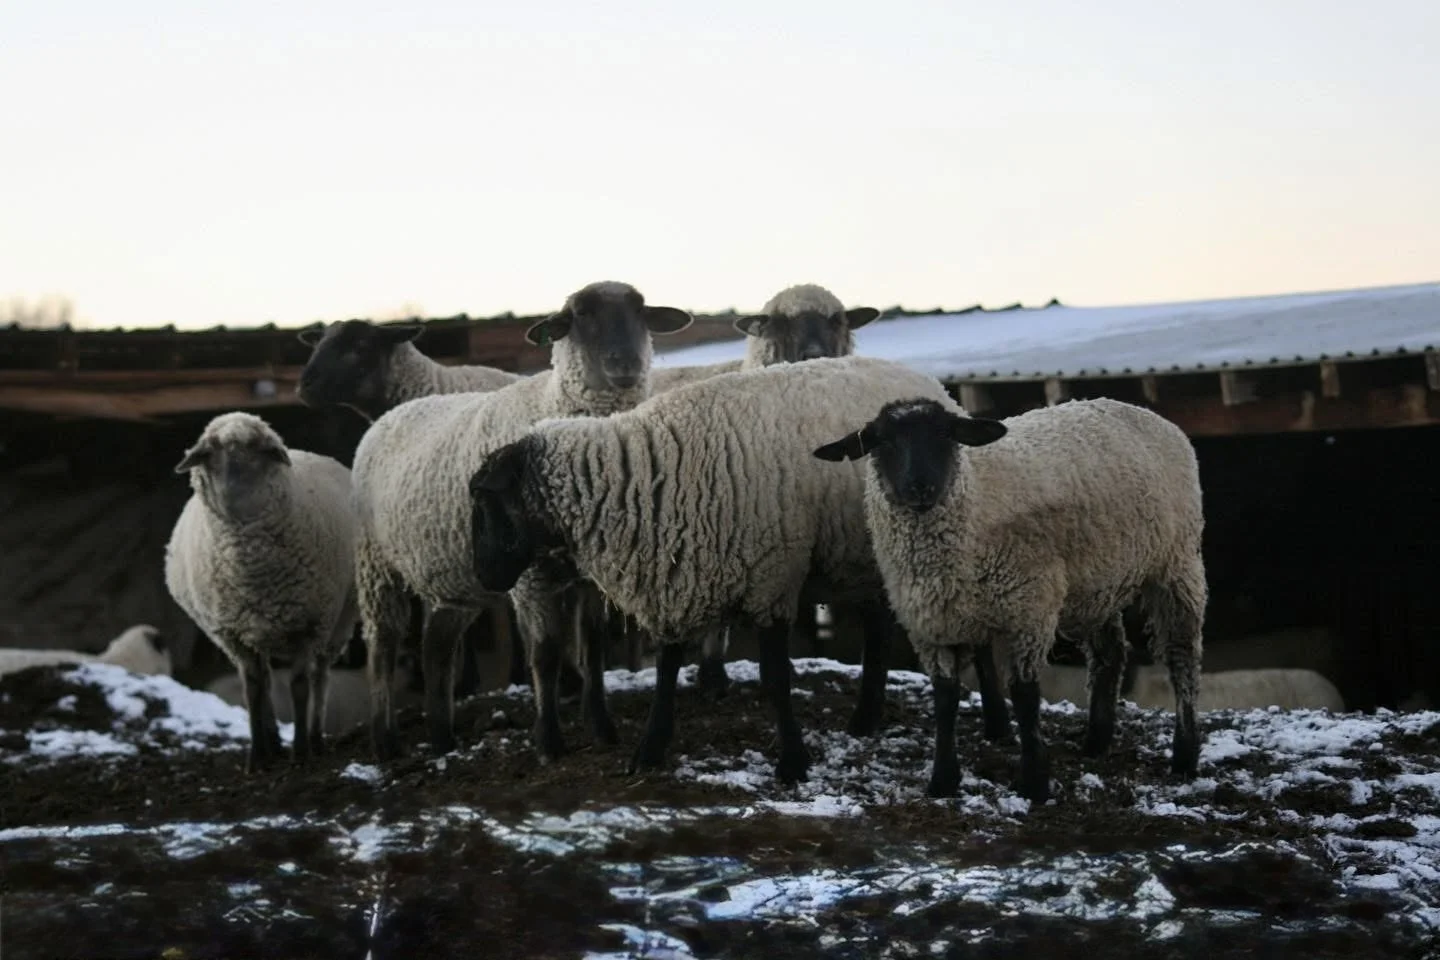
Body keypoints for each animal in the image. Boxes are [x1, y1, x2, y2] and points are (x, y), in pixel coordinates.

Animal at [164, 412, 358, 772]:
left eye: (258, 450)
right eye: (210, 452)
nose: (229, 493)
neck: (252, 574)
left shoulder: (308, 625)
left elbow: (299, 686)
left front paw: (300, 752)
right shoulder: (233, 635)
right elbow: (252, 691)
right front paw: (257, 757)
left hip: (339, 619)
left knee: (320, 676)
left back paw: (314, 739)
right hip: (256, 631)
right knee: (266, 681)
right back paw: (273, 744)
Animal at [354, 280, 692, 761]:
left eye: (642, 310)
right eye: (581, 314)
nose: (625, 363)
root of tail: (388, 417)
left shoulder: (592, 570)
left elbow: (592, 648)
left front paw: (602, 728)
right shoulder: (533, 575)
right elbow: (546, 654)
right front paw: (548, 742)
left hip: (455, 578)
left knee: (436, 646)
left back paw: (442, 738)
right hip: (376, 565)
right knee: (382, 647)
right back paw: (385, 742)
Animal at [467, 355, 1000, 784]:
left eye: (485, 498)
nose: (484, 576)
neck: (641, 473)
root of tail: (925, 380)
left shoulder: (772, 579)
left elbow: (775, 677)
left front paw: (792, 762)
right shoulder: (673, 576)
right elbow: (665, 670)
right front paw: (649, 749)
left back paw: (993, 724)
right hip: (863, 561)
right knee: (876, 629)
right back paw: (865, 718)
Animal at [814, 396, 1207, 803]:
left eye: (945, 435)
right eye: (883, 442)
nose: (920, 487)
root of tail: (1140, 410)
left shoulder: (1029, 607)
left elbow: (1024, 695)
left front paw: (1034, 782)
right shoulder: (932, 625)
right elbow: (945, 698)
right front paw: (942, 781)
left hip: (1176, 564)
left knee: (1181, 657)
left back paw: (1184, 755)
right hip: (1097, 584)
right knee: (1109, 655)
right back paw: (1095, 742)